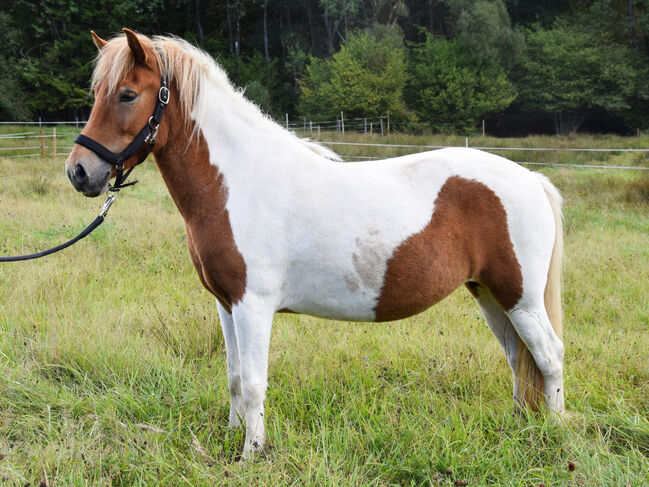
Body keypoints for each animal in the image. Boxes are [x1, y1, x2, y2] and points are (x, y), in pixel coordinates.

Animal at [65, 29, 565, 459]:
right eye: (98, 93)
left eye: (127, 94)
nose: (80, 171)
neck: (236, 181)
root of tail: (532, 180)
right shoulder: (226, 304)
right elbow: (233, 376)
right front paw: (232, 437)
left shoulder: (253, 305)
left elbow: (254, 382)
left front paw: (251, 454)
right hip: (490, 295)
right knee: (519, 358)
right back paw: (521, 428)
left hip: (520, 298)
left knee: (549, 355)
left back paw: (555, 435)